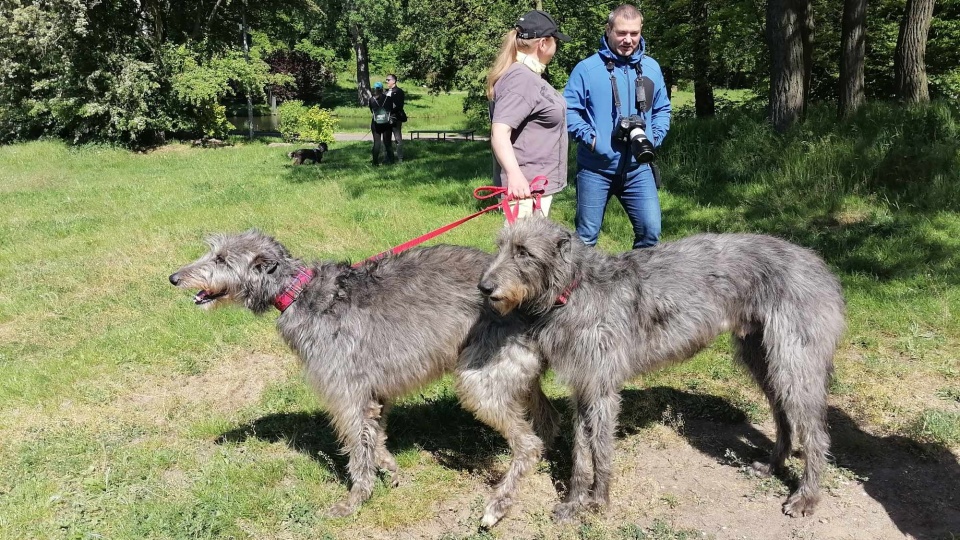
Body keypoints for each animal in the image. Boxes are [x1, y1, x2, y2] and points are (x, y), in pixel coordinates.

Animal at [169, 231, 560, 524]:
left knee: (528, 444)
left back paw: (498, 505)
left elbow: (357, 446)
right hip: (516, 373)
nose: (174, 277)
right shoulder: (374, 392)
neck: (299, 294)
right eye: (212, 253)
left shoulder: (346, 391)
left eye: (221, 260)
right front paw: (390, 469)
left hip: (481, 377)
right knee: (547, 421)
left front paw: (356, 499)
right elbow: (375, 435)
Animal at [476, 217, 844, 520]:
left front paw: (599, 503)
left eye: (524, 252)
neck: (574, 289)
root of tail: (821, 266)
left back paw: (806, 497)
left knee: (816, 433)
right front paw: (574, 502)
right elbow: (581, 450)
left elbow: (601, 449)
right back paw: (771, 466)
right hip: (762, 358)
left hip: (795, 362)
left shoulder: (602, 388)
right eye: (501, 246)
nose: (484, 287)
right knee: (783, 416)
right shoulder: (584, 385)